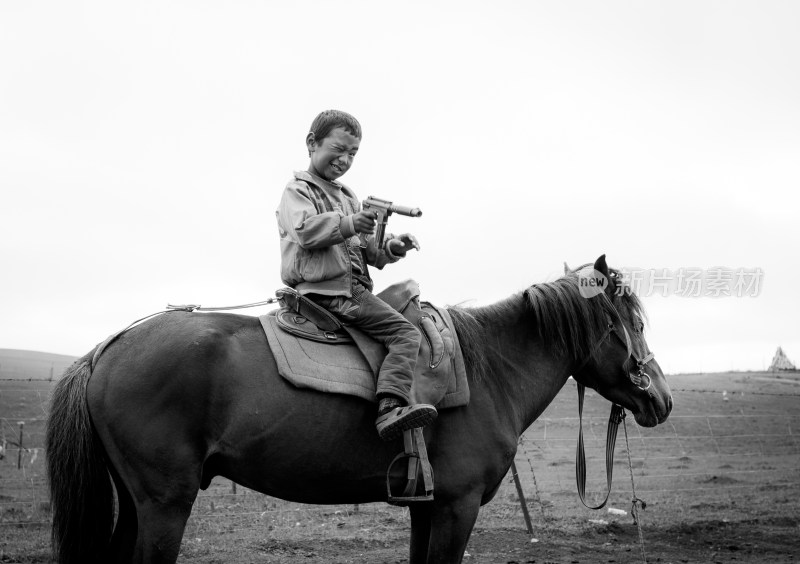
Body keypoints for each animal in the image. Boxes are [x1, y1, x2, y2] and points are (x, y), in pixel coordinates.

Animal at [45, 256, 676, 564]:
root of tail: (105, 349)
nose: (661, 400)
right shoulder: (457, 507)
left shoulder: (428, 507)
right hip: (164, 504)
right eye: (635, 324)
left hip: (137, 503)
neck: (489, 369)